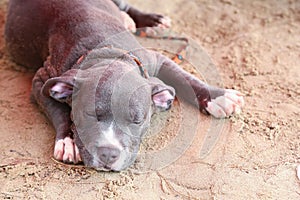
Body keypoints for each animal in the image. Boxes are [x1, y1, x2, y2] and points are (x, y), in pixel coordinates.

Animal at [4, 0, 244, 172]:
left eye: (137, 120)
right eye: (89, 115)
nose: (109, 154)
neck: (103, 50)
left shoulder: (155, 58)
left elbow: (185, 78)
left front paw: (218, 96)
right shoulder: (42, 80)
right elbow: (58, 110)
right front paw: (67, 141)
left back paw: (152, 20)